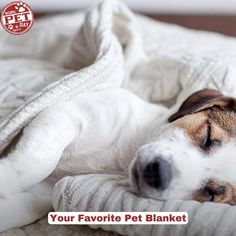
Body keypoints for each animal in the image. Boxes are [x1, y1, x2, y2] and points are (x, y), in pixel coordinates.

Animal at [0, 87, 236, 230]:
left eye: (211, 193)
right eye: (207, 136)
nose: (158, 174)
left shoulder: (49, 190)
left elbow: (29, 205)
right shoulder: (66, 113)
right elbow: (37, 161)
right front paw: (6, 179)